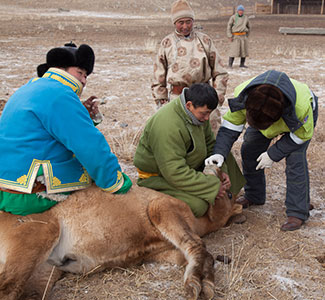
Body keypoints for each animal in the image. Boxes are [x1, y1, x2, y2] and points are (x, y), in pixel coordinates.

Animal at [0, 166, 242, 300]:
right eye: (229, 193)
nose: (216, 169)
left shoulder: (162, 251)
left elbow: (194, 254)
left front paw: (204, 282)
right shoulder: (162, 209)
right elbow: (198, 247)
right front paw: (197, 285)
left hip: (44, 272)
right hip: (39, 236)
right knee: (8, 287)